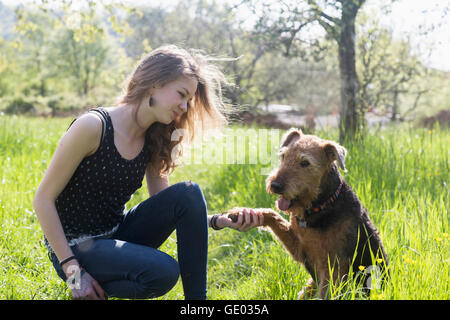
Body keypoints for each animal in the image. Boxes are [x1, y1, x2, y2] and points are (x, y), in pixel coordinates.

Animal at [227, 128, 388, 300]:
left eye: (305, 163)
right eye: (283, 156)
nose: (275, 185)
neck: (321, 206)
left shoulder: (331, 267)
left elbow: (325, 293)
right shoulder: (299, 247)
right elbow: (272, 214)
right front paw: (240, 213)